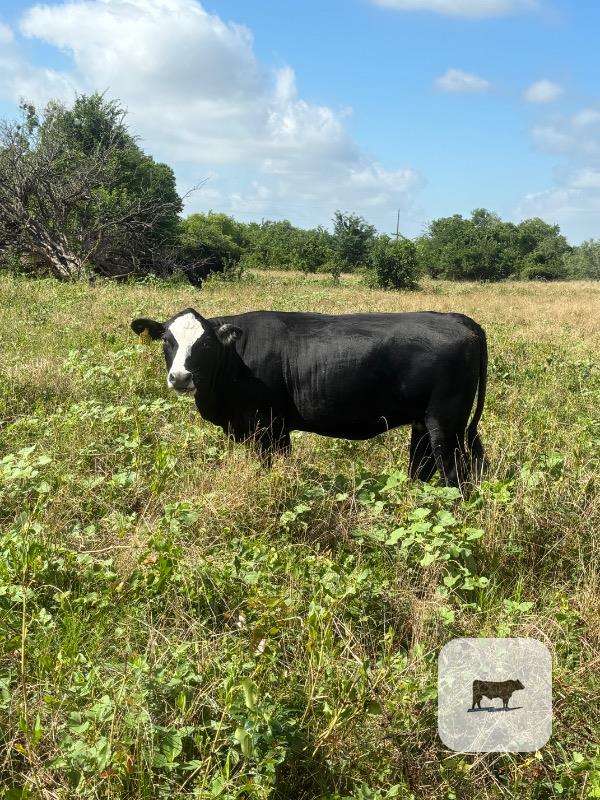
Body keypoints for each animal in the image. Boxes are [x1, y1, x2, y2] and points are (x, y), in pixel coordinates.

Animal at [130, 307, 487, 486]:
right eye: (167, 340)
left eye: (204, 343)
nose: (180, 377)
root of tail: (460, 320)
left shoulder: (268, 426)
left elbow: (271, 468)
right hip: (423, 423)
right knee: (421, 467)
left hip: (446, 424)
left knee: (457, 477)